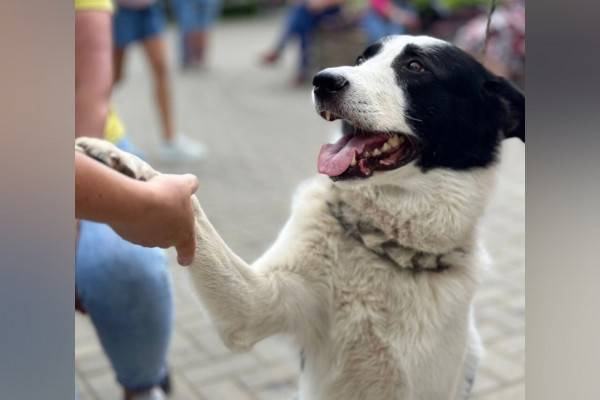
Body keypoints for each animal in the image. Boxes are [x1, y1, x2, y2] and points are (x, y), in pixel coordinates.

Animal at [76, 35, 524, 400]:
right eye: (361, 58)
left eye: (416, 67)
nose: (323, 80)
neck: (384, 243)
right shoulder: (254, 307)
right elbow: (195, 215)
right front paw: (116, 160)